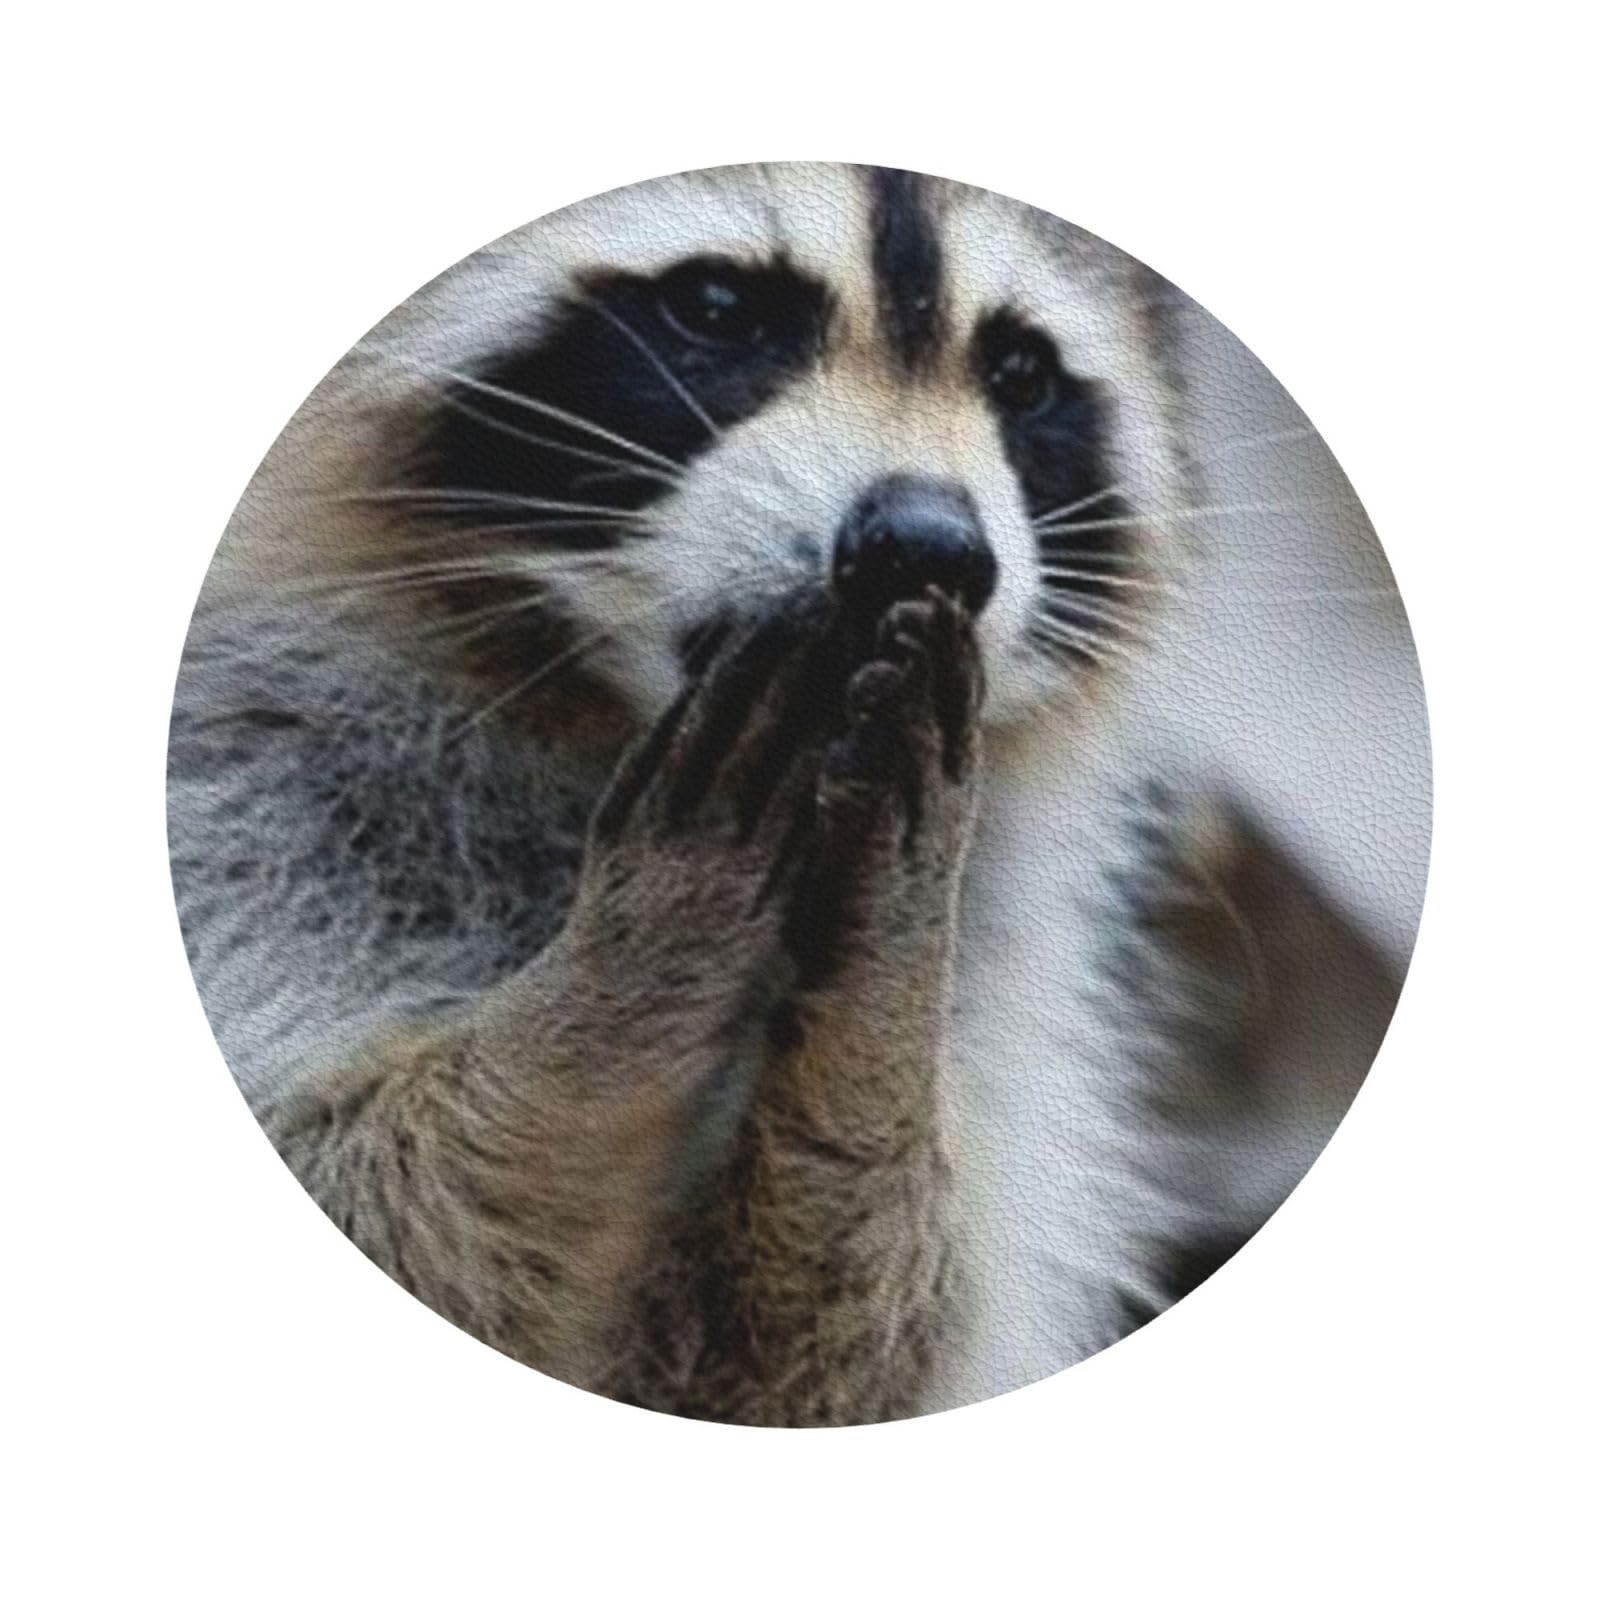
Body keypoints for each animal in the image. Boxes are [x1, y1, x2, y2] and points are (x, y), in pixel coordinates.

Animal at [169, 163, 1398, 1423]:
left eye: (1018, 373)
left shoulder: (1003, 969)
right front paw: (629, 973)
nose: (926, 545)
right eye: (718, 308)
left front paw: (877, 1006)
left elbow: (815, 1360)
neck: (600, 715)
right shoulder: (256, 796)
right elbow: (373, 1193)